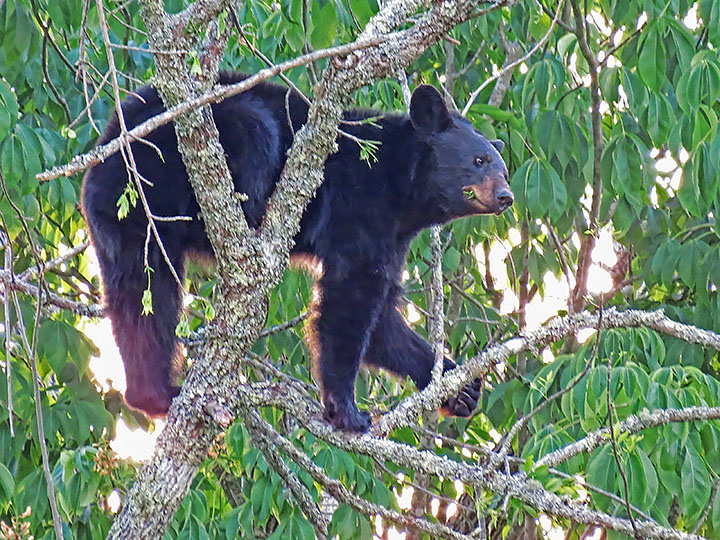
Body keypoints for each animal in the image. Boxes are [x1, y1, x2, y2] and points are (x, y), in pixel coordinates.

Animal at [83, 73, 512, 434]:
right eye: (479, 161)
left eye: (503, 169)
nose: (505, 196)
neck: (400, 185)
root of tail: (113, 134)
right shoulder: (359, 201)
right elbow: (350, 295)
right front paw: (347, 410)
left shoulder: (392, 236)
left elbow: (382, 319)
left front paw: (461, 387)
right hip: (181, 152)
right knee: (253, 133)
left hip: (125, 217)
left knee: (144, 294)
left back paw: (153, 393)